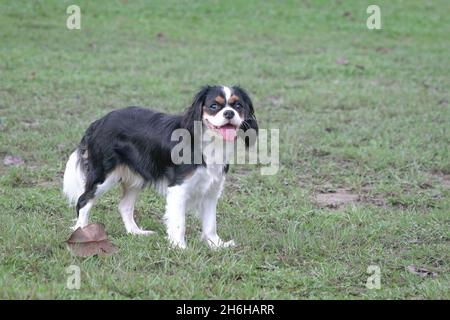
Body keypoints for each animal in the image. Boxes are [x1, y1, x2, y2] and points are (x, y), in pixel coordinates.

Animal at [64, 86, 258, 249]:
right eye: (214, 106)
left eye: (238, 105)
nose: (229, 113)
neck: (209, 143)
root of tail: (98, 122)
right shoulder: (179, 188)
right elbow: (179, 222)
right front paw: (180, 247)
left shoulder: (212, 190)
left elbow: (210, 223)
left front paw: (216, 244)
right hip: (103, 176)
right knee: (83, 200)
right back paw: (83, 233)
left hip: (135, 178)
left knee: (124, 206)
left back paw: (136, 232)